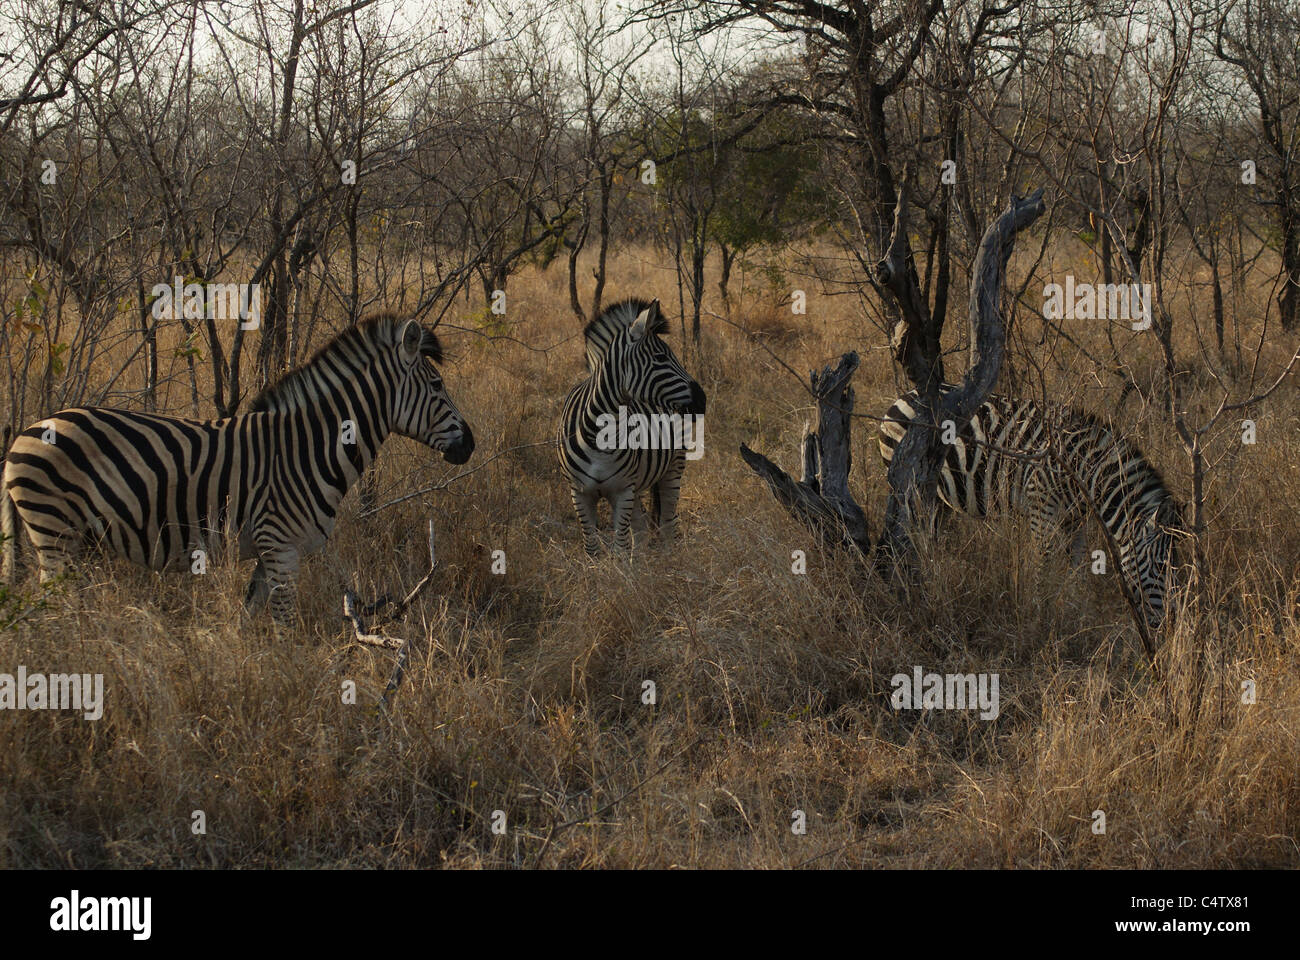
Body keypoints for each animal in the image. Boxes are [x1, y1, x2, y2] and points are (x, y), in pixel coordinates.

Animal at [1, 313, 474, 625]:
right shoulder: (281, 548)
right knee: (55, 614)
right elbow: (285, 628)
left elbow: (251, 619)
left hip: (74, 542)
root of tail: (22, 435)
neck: (309, 448)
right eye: (436, 385)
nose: (470, 445)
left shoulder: (269, 552)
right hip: (55, 537)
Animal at [557, 298, 707, 555]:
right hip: (637, 485)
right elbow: (593, 548)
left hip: (673, 468)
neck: (598, 435)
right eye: (660, 358)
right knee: (641, 529)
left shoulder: (623, 491)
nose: (703, 400)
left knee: (668, 524)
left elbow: (619, 548)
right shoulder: (579, 493)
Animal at [878, 385, 1182, 629]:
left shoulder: (1076, 518)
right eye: (1161, 566)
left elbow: (1076, 565)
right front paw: (1039, 613)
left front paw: (1074, 611)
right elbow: (1043, 563)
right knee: (912, 540)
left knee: (929, 540)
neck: (1081, 471)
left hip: (939, 502)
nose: (1171, 622)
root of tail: (903, 395)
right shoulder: (1041, 507)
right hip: (912, 489)